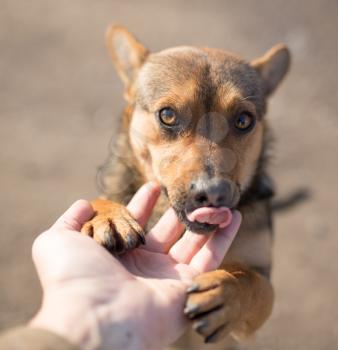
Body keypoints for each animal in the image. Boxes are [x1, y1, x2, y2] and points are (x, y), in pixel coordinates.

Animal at [82, 25, 290, 350]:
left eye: (244, 120)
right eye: (167, 115)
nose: (213, 192)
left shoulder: (258, 293)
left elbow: (254, 284)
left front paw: (226, 292)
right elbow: (99, 200)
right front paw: (107, 216)